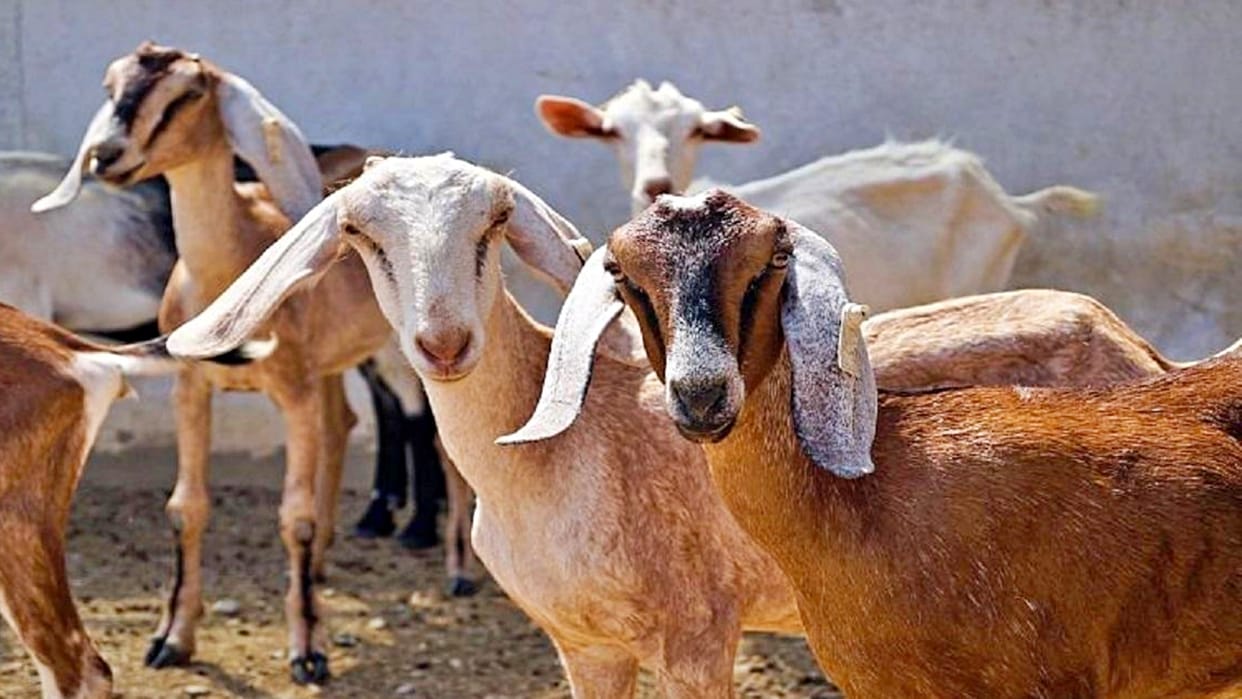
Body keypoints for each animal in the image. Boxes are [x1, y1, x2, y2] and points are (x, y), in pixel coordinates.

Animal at [32, 42, 472, 684]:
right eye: (111, 86)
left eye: (189, 93)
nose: (108, 156)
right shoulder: (193, 389)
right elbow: (186, 507)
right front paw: (171, 639)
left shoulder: (293, 393)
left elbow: (295, 517)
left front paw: (308, 652)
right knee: (344, 424)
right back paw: (324, 566)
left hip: (410, 351)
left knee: (439, 438)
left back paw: (458, 571)